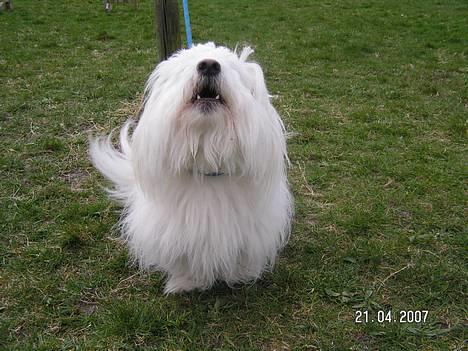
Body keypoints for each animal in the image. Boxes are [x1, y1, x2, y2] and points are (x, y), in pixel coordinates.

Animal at [89, 42, 290, 294]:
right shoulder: (175, 234)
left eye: (233, 70)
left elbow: (241, 257)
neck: (207, 166)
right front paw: (186, 283)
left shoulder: (250, 232)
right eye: (185, 67)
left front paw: (240, 276)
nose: (209, 65)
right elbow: (184, 260)